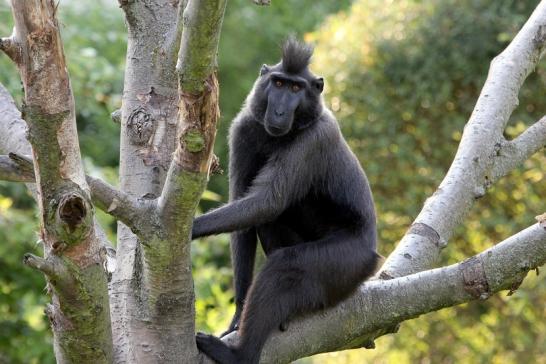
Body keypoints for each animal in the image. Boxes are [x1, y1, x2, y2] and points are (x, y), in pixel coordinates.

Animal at [191, 37, 378, 364]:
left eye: (295, 89)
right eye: (277, 83)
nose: (278, 112)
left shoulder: (315, 139)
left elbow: (268, 201)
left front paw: (186, 227)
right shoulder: (243, 128)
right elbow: (247, 214)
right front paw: (238, 316)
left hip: (350, 260)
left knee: (285, 267)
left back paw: (239, 355)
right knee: (270, 225)